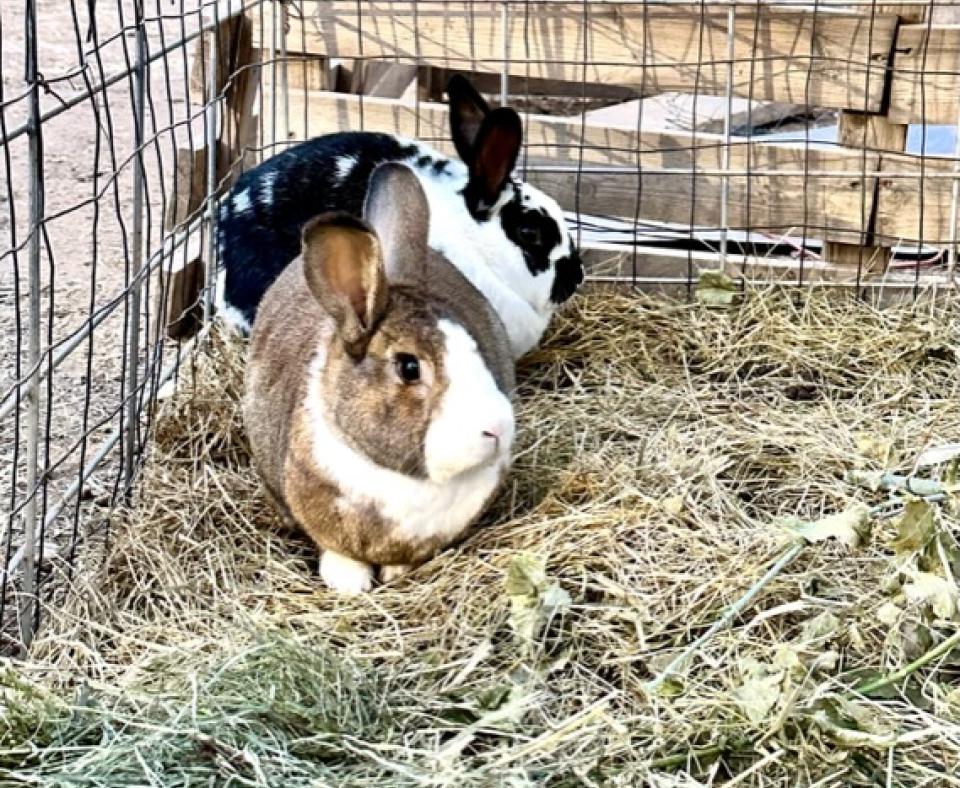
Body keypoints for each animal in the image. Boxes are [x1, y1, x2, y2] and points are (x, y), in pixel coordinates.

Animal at [244, 162, 520, 592]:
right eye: (409, 367)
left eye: (476, 346)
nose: (497, 428)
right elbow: (338, 553)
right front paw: (349, 584)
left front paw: (394, 574)